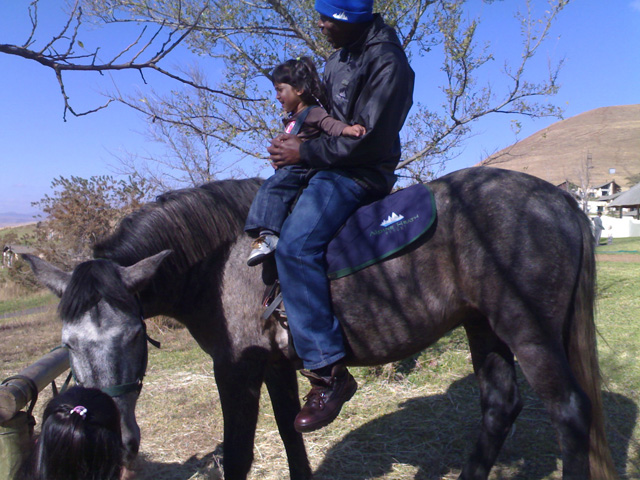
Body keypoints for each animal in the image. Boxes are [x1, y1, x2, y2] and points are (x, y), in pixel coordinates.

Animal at [23, 166, 616, 480]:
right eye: (68, 345)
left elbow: (238, 453)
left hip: (529, 332)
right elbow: (291, 435)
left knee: (568, 411)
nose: (118, 438)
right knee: (499, 407)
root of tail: (559, 198)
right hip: (485, 328)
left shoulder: (235, 371)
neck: (223, 260)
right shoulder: (277, 367)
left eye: (131, 336)